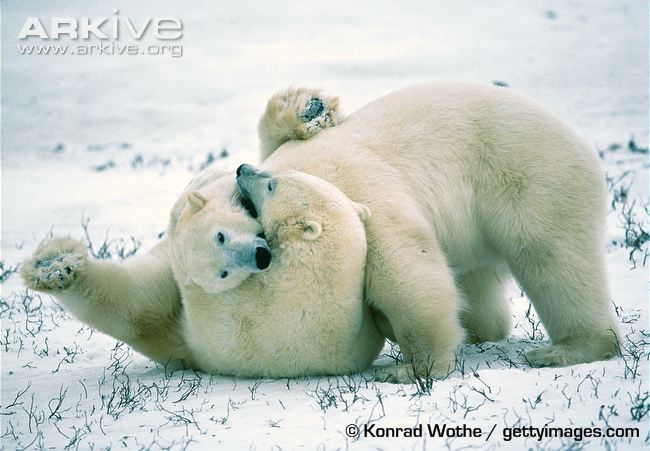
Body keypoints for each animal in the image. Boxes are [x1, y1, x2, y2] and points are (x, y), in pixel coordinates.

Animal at [22, 168, 385, 377]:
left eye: (271, 185)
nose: (243, 168)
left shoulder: (250, 318)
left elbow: (197, 292)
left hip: (179, 337)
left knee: (130, 303)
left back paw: (55, 267)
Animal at [255, 82, 620, 382]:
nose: (246, 172)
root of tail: (580, 142)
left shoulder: (363, 196)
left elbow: (406, 273)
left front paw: (412, 368)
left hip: (533, 178)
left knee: (552, 260)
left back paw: (566, 349)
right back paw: (479, 329)